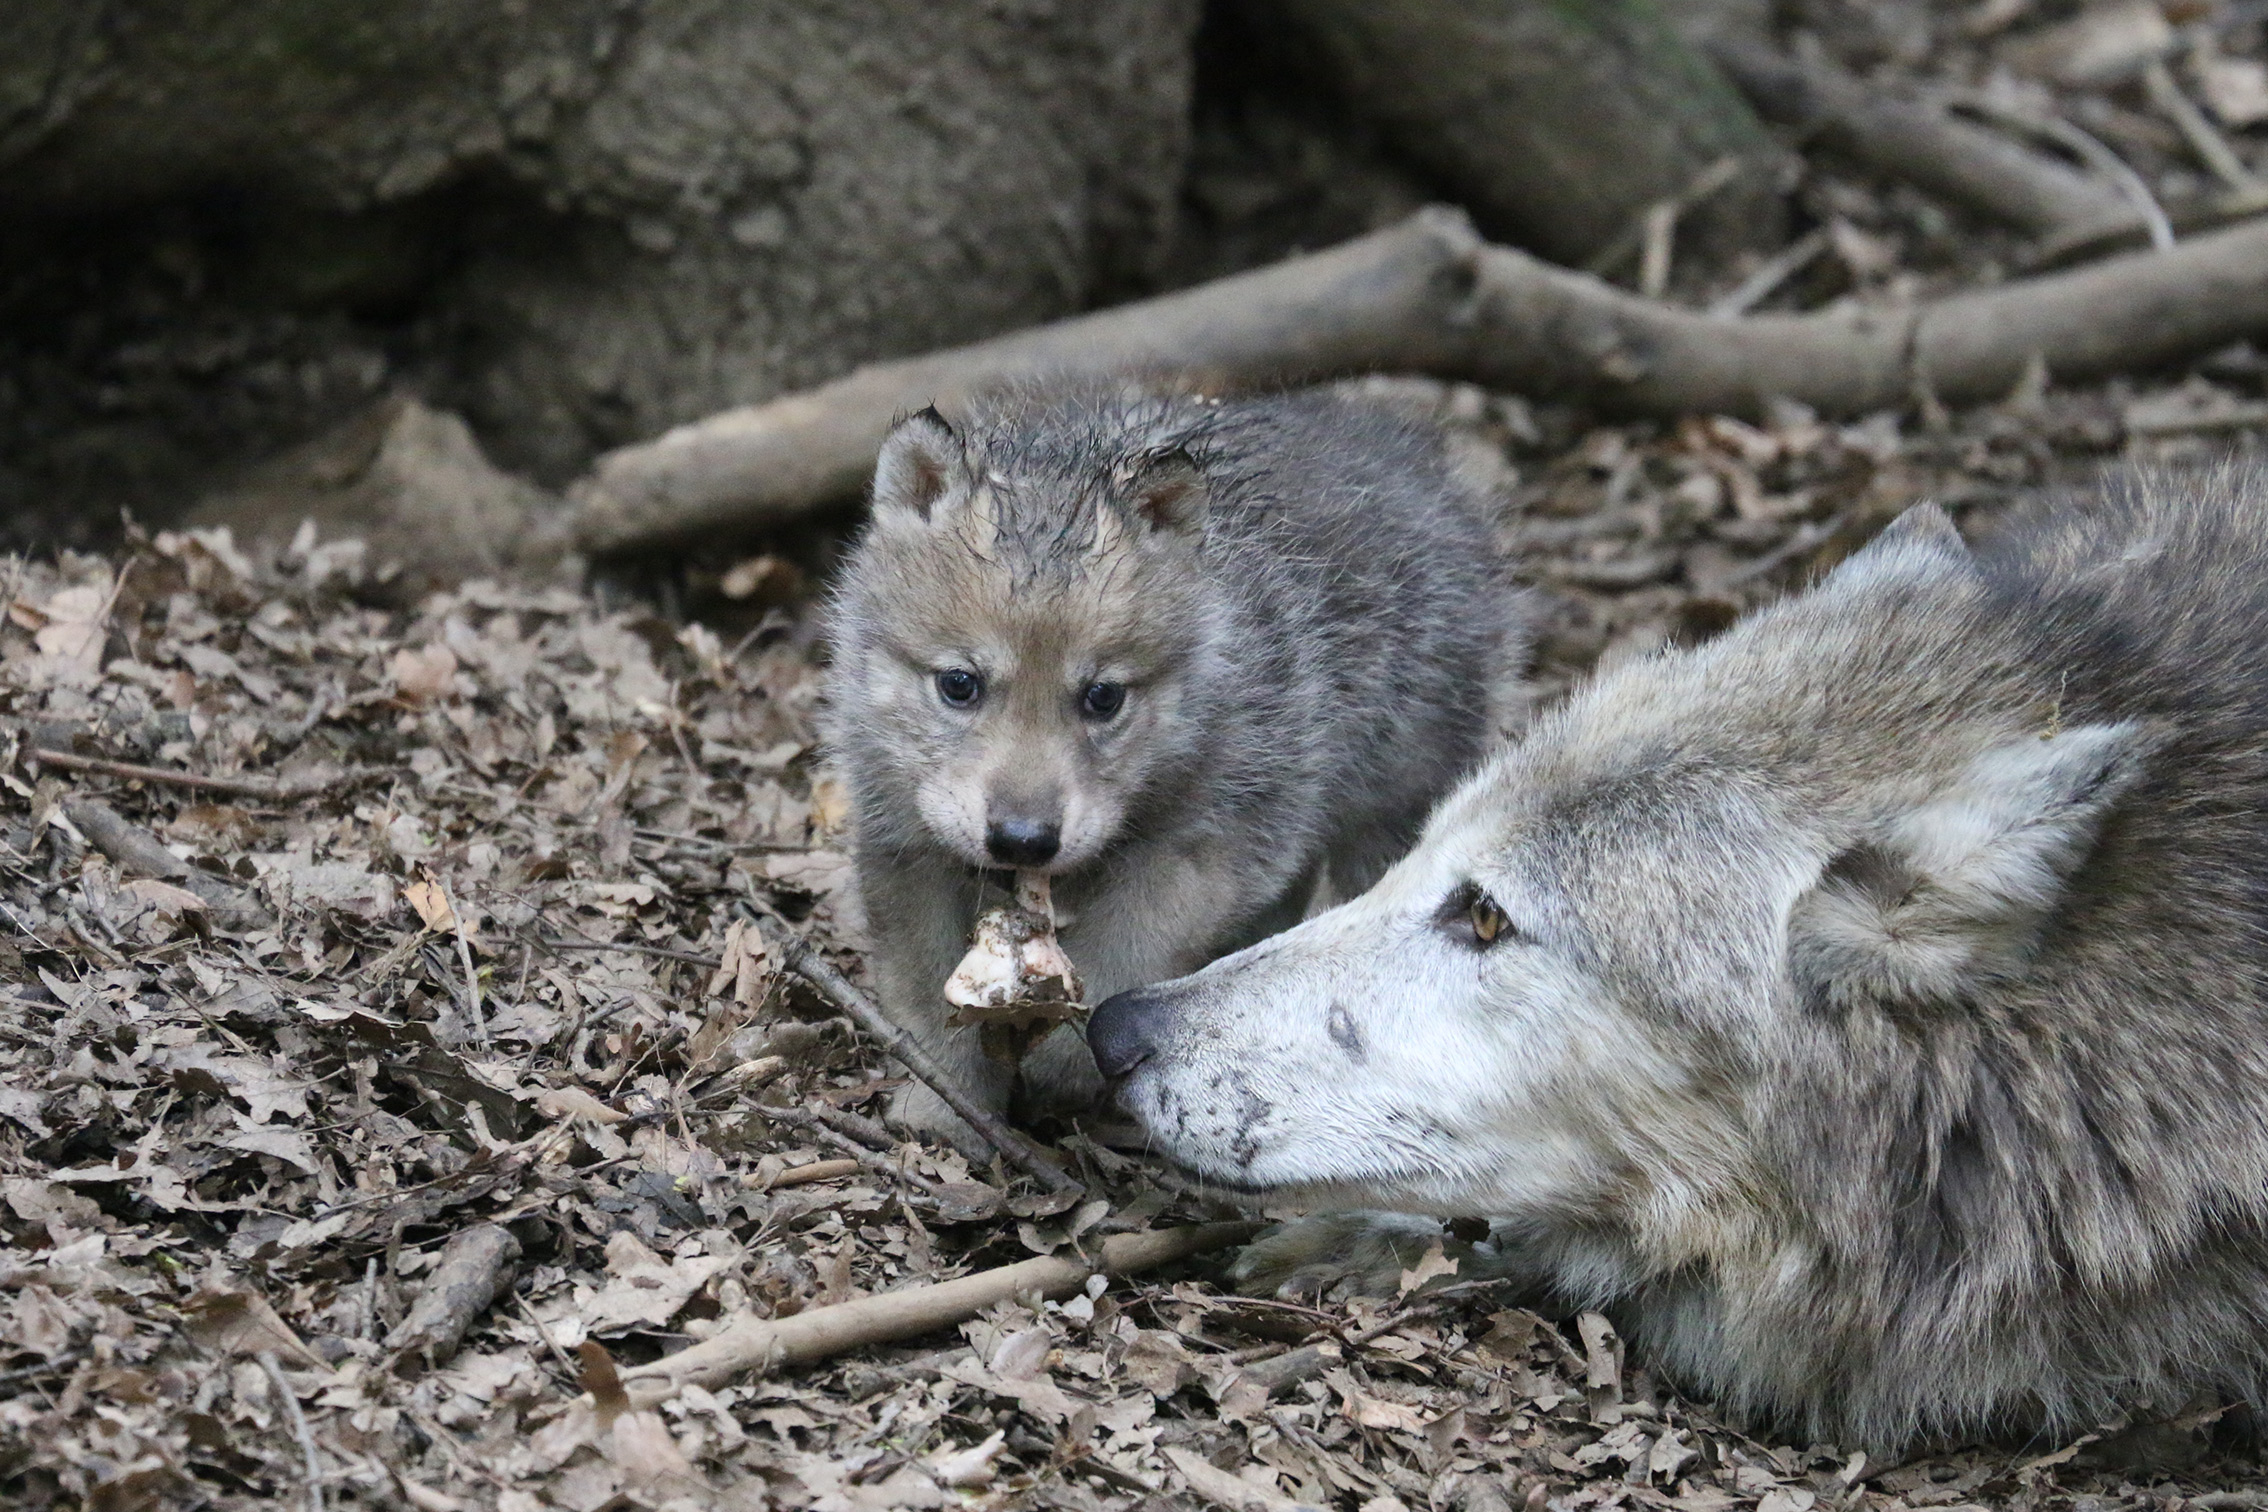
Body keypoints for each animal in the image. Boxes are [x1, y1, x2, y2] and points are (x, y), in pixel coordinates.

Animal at [824, 384, 1520, 1147]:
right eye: (958, 684)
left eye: (1103, 697)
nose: (1023, 840)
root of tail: (1421, 460)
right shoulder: (904, 843)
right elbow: (923, 992)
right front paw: (946, 1110)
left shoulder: (1208, 845)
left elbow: (1122, 956)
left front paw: (1062, 1062)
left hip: (1391, 796)